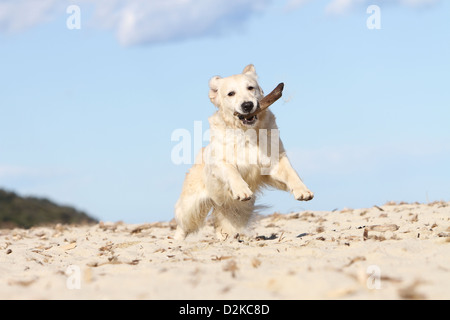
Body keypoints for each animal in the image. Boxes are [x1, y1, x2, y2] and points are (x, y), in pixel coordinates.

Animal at [174, 65, 314, 240]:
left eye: (250, 88)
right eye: (231, 93)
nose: (247, 105)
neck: (247, 133)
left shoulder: (274, 161)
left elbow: (291, 172)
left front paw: (302, 190)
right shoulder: (220, 163)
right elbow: (231, 170)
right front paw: (241, 190)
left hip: (237, 213)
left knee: (224, 227)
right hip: (191, 206)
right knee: (183, 223)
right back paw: (177, 240)